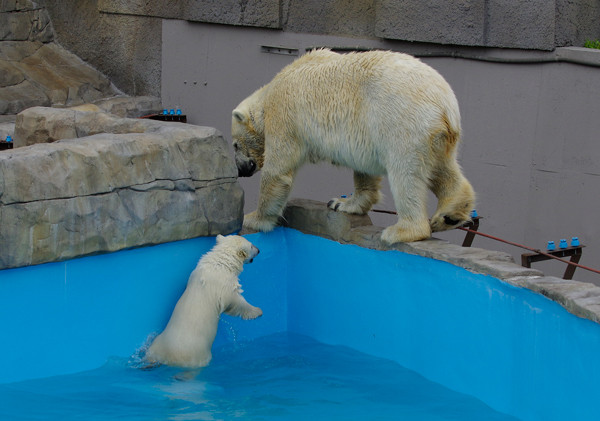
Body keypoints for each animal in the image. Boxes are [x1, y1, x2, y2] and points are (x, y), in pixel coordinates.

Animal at [144, 235, 262, 366]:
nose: (259, 250)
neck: (219, 264)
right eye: (251, 245)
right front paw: (257, 311)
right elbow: (236, 301)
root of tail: (167, 359)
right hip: (197, 355)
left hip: (157, 345)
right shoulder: (224, 286)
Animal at [232, 48, 476, 243]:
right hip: (437, 136)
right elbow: (365, 170)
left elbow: (278, 171)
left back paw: (402, 231)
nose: (240, 169)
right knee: (443, 168)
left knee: (406, 174)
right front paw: (342, 203)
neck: (269, 94)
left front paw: (253, 218)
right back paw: (450, 215)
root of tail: (445, 103)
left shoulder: (285, 115)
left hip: (403, 121)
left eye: (234, 145)